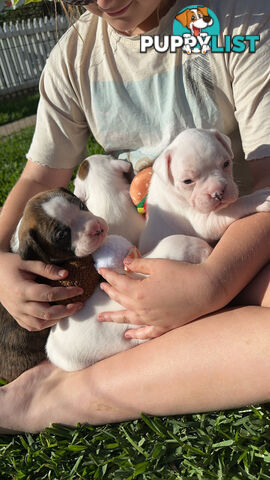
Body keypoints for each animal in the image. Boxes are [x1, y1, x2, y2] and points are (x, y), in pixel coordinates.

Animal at [139, 127, 270, 255]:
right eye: (187, 181)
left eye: (226, 163)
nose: (218, 192)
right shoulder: (202, 223)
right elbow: (236, 205)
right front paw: (259, 199)